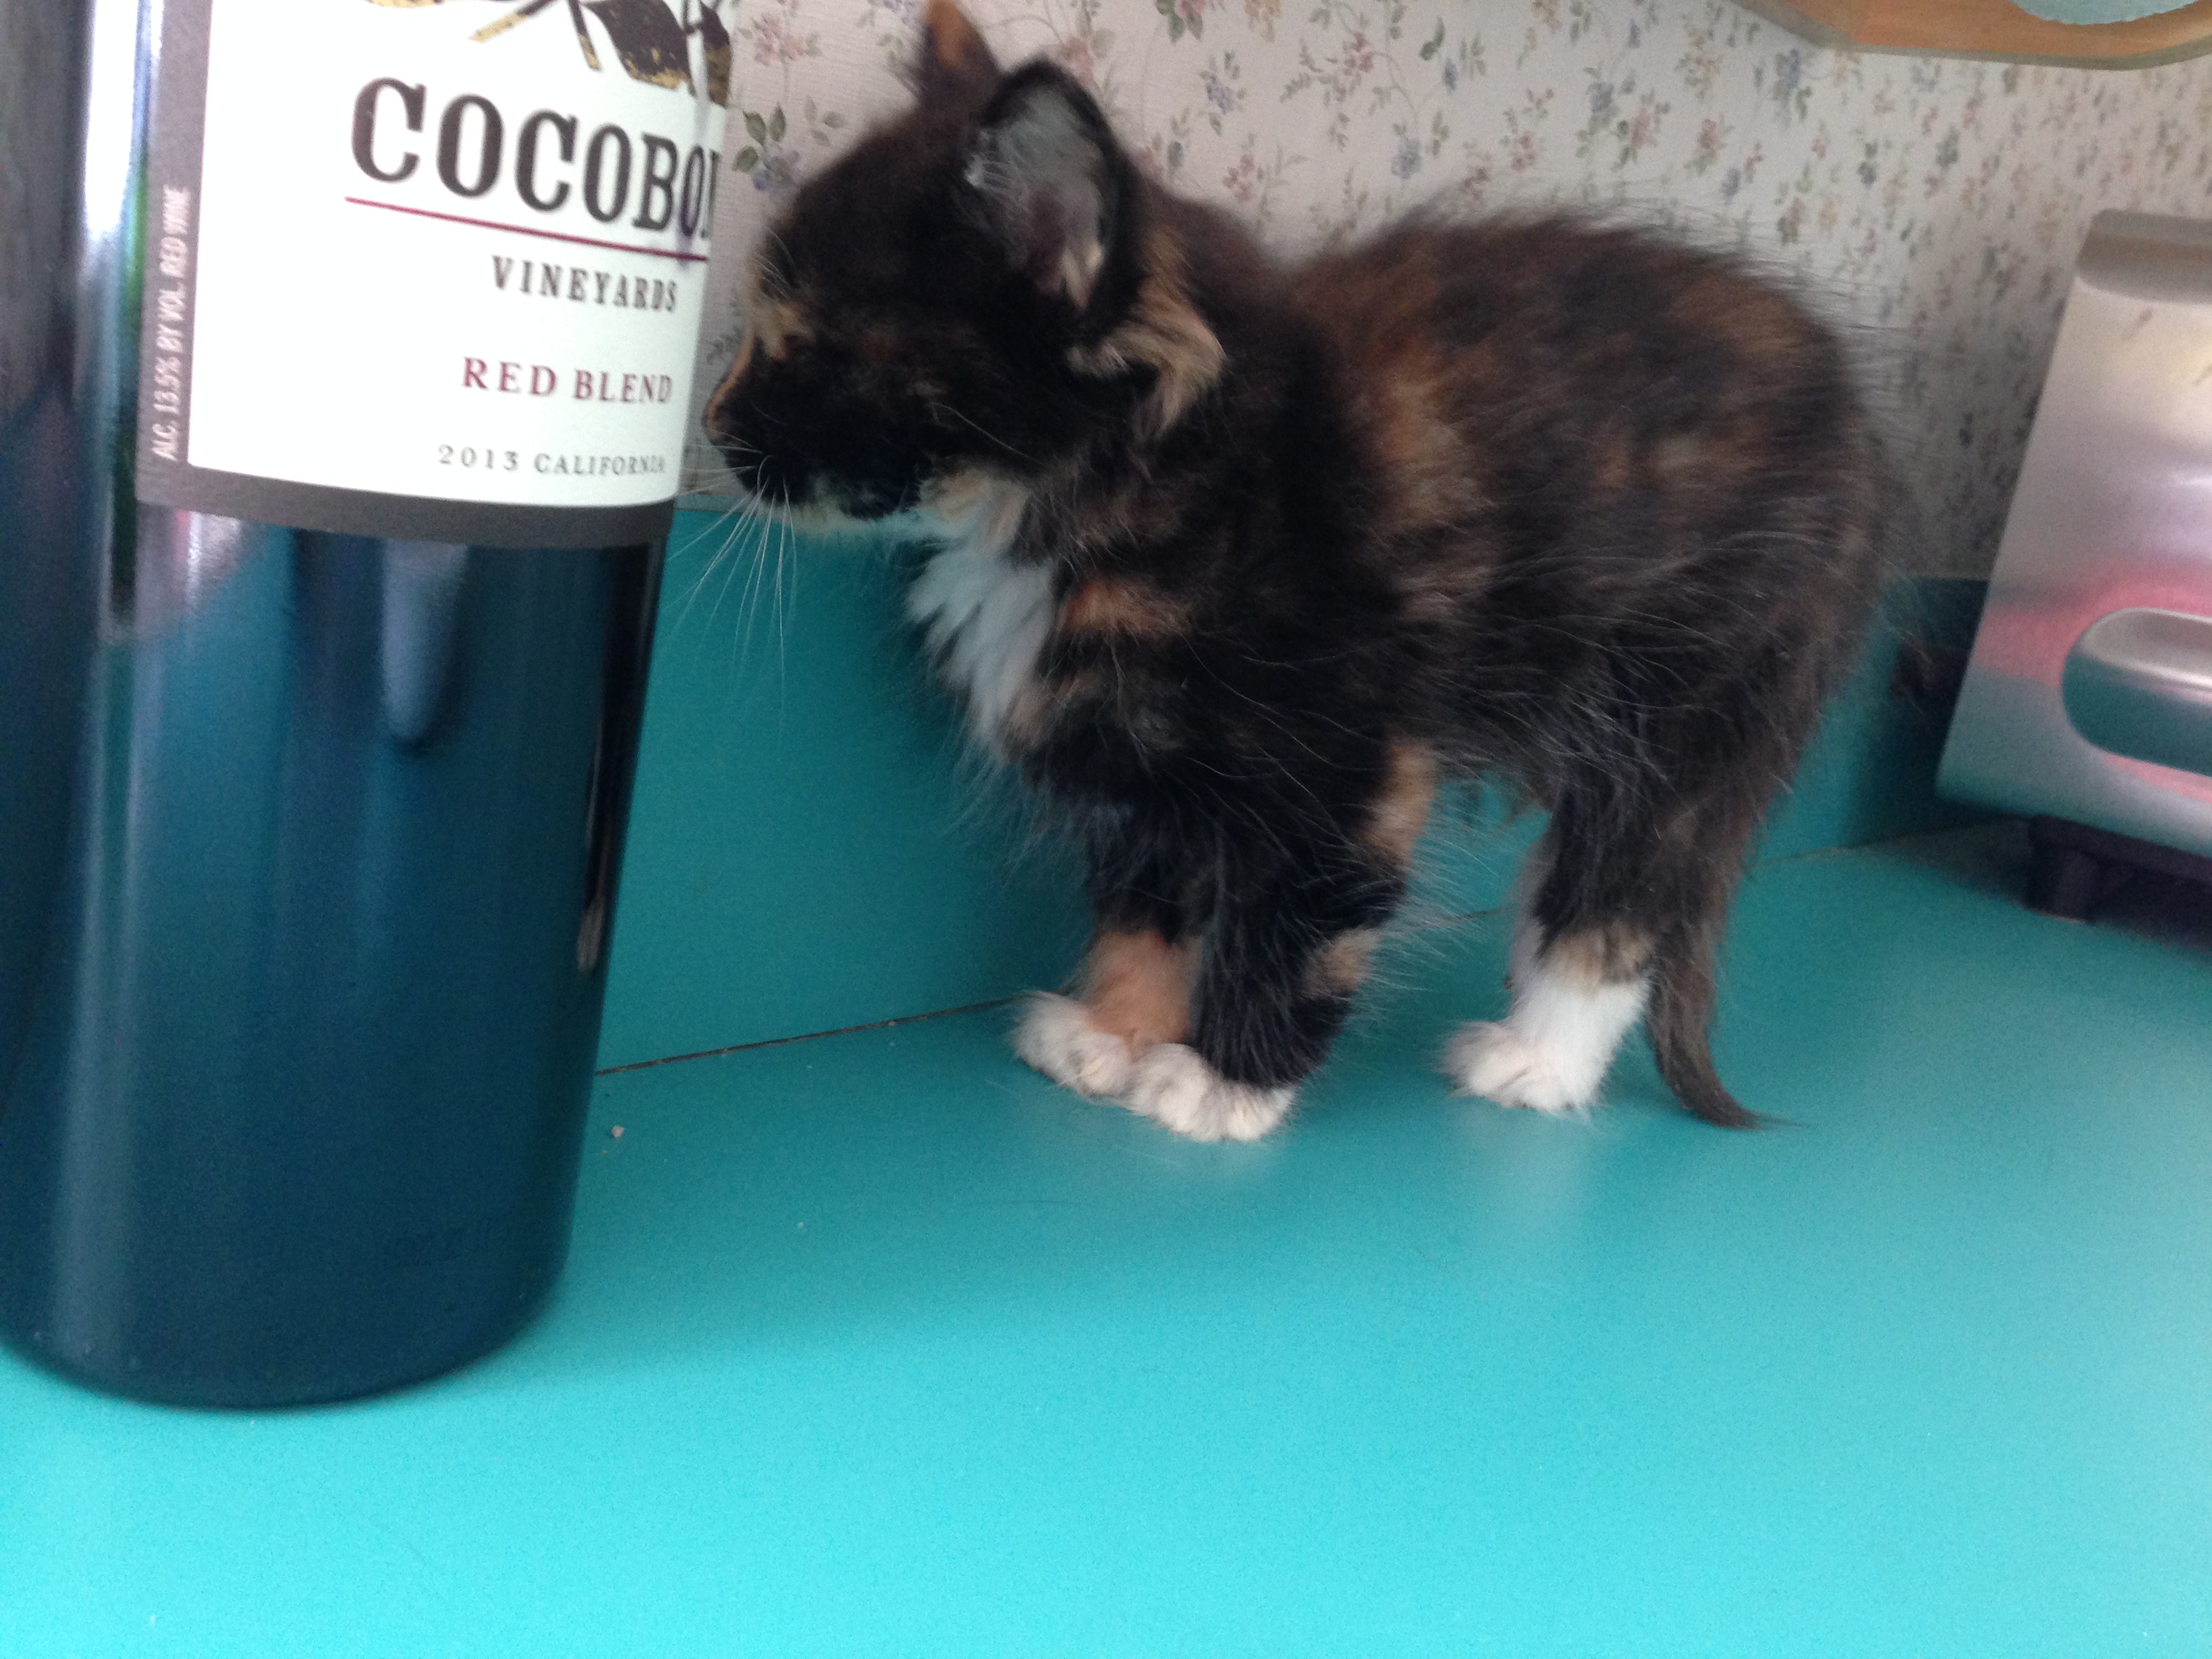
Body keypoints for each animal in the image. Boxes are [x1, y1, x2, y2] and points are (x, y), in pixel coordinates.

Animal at [702, 0, 1887, 1141]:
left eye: (808, 353)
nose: (713, 424)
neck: (1118, 494)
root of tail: (1852, 412)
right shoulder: (1150, 770)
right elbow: (1147, 899)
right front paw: (1113, 1032)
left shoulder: (1352, 762)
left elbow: (1298, 923)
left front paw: (1222, 1082)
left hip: (1679, 699)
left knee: (1626, 893)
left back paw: (1539, 1057)